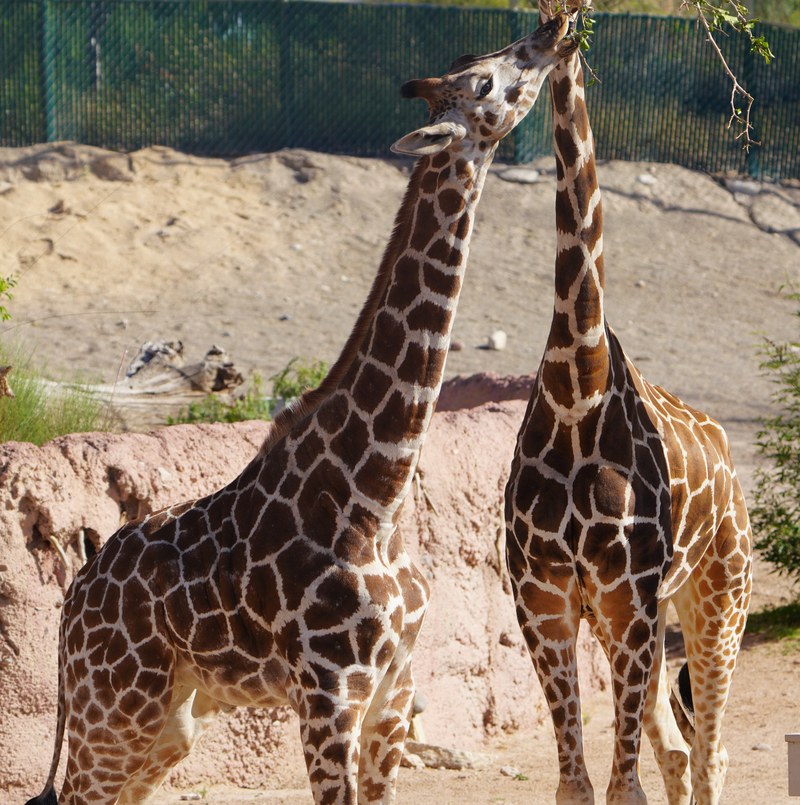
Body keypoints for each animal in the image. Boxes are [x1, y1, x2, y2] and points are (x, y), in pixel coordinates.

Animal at [26, 17, 578, 805]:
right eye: (484, 81)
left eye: (482, 60)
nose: (554, 27)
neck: (378, 493)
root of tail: (71, 603)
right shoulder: (328, 696)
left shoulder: (391, 695)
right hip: (113, 708)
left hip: (166, 721)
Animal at [503, 5, 752, 804]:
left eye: (536, 49)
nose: (552, 38)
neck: (576, 390)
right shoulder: (545, 602)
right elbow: (577, 784)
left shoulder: (624, 599)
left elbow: (624, 787)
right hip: (651, 613)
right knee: (678, 752)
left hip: (716, 597)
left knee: (710, 753)